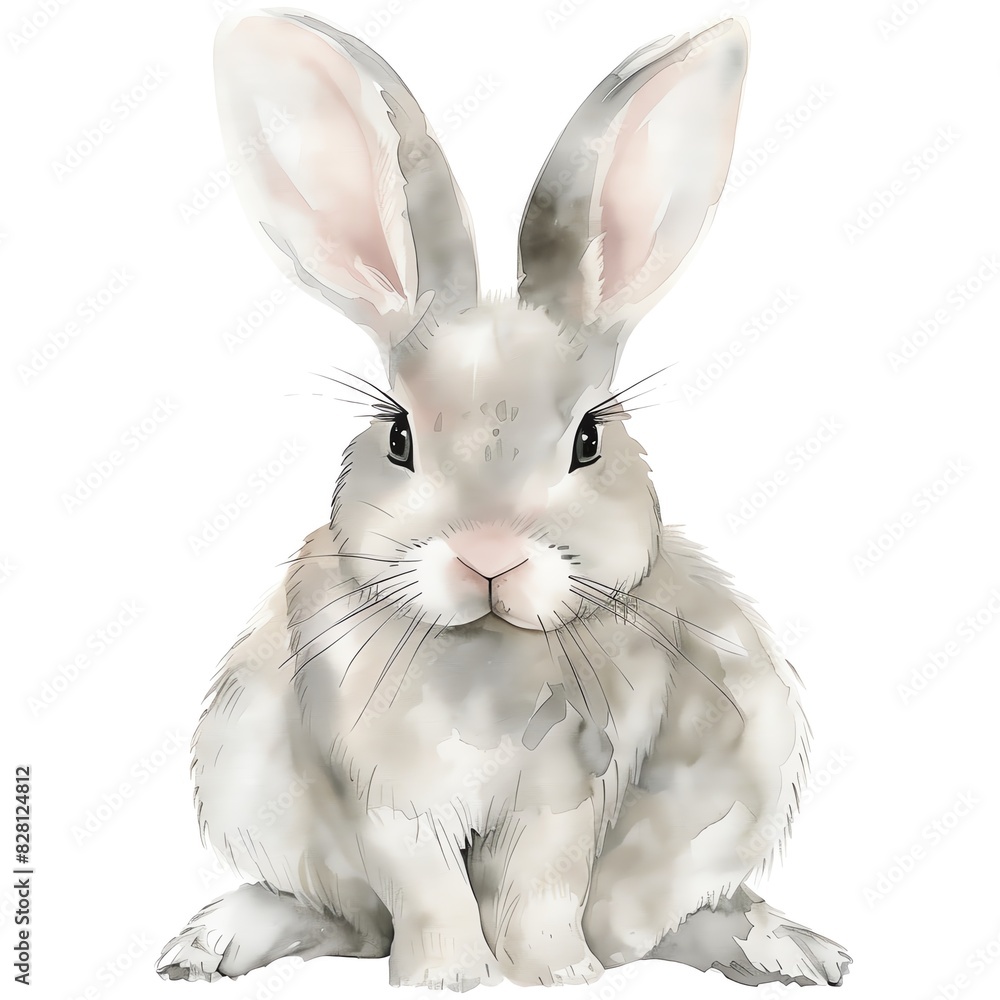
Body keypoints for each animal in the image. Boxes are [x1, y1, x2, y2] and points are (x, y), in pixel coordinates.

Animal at [157, 7, 852, 992]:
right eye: (399, 436)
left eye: (589, 438)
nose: (488, 555)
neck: (486, 652)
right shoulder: (385, 800)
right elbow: (426, 891)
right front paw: (444, 978)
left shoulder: (569, 798)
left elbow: (539, 886)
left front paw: (553, 976)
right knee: (345, 918)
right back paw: (212, 943)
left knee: (664, 922)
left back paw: (791, 951)